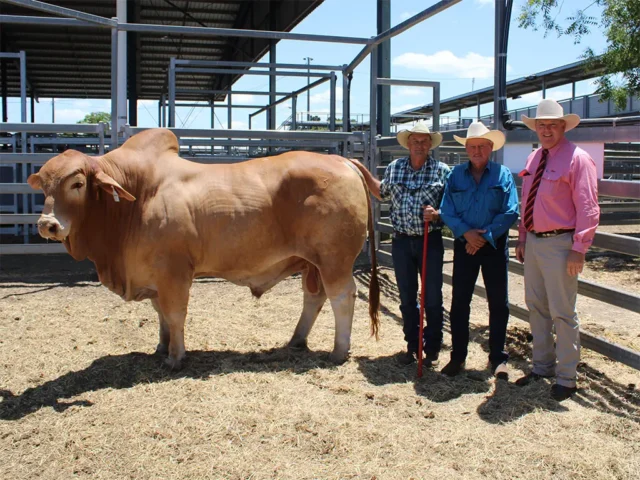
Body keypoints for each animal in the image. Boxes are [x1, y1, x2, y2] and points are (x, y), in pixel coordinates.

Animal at [27, 128, 380, 369]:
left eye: (77, 184)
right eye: (44, 185)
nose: (47, 224)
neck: (135, 197)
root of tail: (341, 159)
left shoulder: (174, 272)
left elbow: (174, 314)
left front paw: (175, 357)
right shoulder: (153, 275)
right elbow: (160, 314)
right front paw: (161, 346)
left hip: (334, 260)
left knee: (343, 297)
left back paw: (338, 351)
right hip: (312, 263)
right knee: (314, 298)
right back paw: (296, 340)